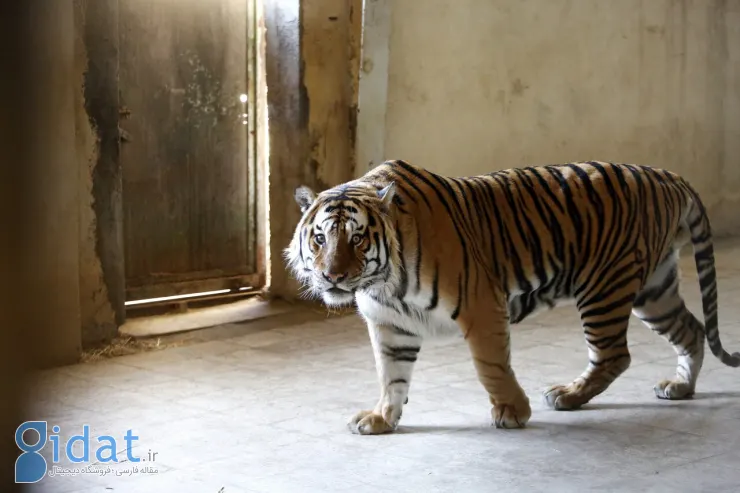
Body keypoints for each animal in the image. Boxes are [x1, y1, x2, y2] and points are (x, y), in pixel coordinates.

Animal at [284, 159, 740, 434]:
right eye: (320, 238)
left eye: (357, 239)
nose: (332, 276)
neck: (383, 282)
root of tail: (668, 174)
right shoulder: (389, 325)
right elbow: (390, 375)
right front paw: (381, 417)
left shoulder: (481, 305)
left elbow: (491, 366)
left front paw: (512, 412)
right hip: (653, 290)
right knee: (691, 330)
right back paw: (680, 387)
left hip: (605, 287)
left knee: (615, 355)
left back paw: (568, 395)